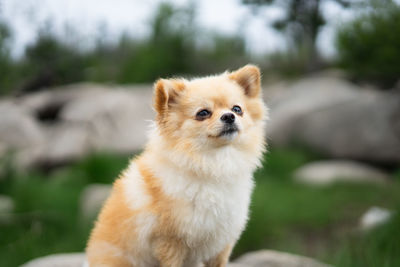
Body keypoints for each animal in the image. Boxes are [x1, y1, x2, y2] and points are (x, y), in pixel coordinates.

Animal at [86, 65, 268, 267]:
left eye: (237, 109)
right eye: (203, 113)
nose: (229, 116)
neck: (212, 164)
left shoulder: (221, 243)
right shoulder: (170, 242)